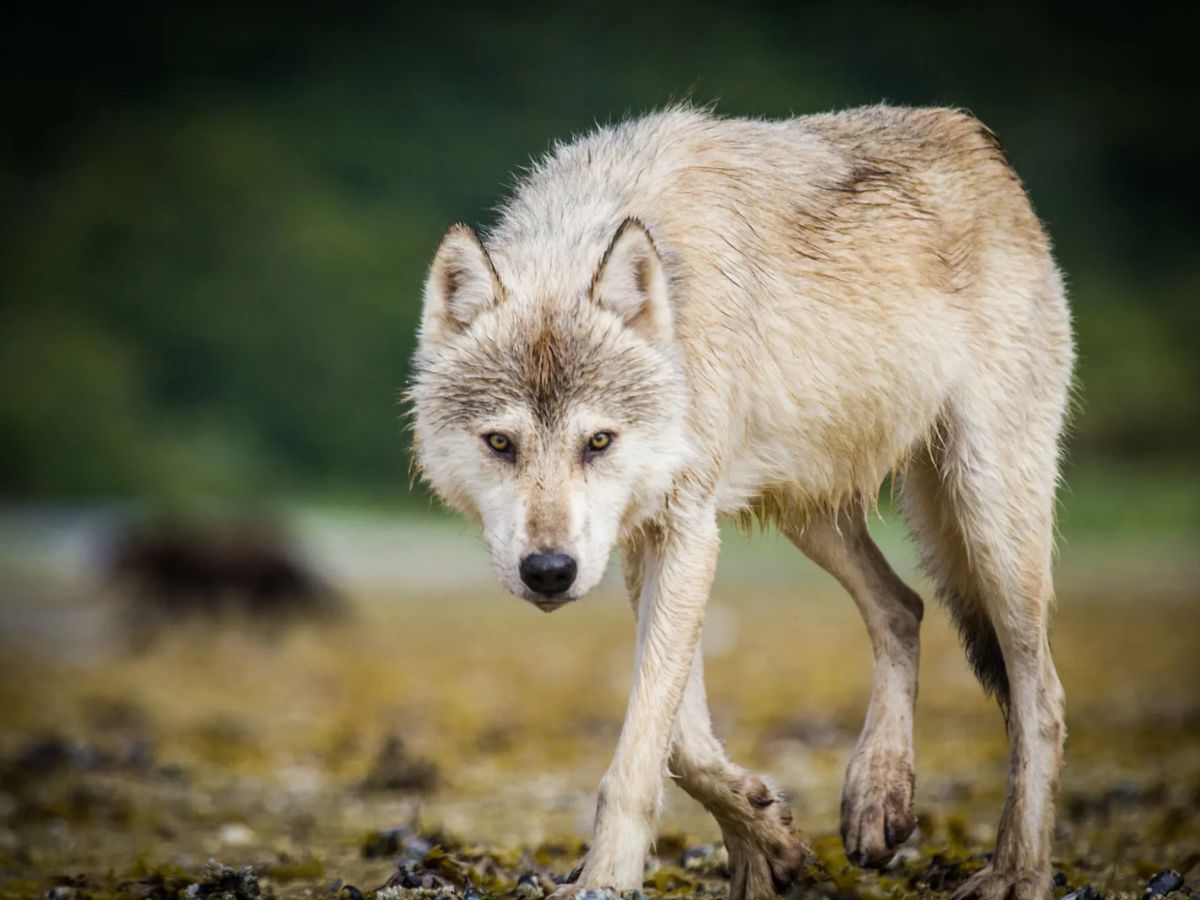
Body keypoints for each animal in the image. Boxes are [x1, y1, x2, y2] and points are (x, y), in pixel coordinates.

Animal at [409, 105, 1075, 900]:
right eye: (500, 443)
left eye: (597, 441)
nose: (549, 571)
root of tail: (978, 142)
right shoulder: (649, 541)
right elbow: (684, 744)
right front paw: (766, 840)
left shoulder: (686, 531)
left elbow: (646, 749)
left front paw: (608, 878)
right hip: (812, 514)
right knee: (903, 607)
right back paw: (876, 793)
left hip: (988, 515)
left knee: (1040, 694)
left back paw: (1017, 870)